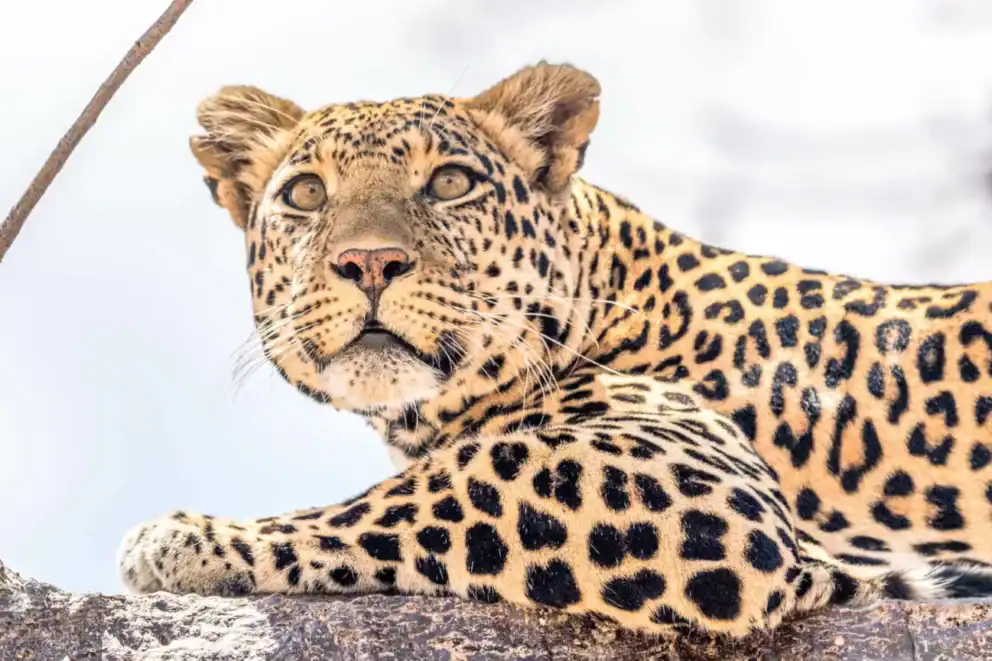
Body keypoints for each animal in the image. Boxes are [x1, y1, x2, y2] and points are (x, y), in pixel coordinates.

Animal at [117, 61, 992, 639]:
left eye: (450, 183)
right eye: (306, 194)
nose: (369, 261)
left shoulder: (703, 481)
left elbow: (451, 479)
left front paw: (186, 537)